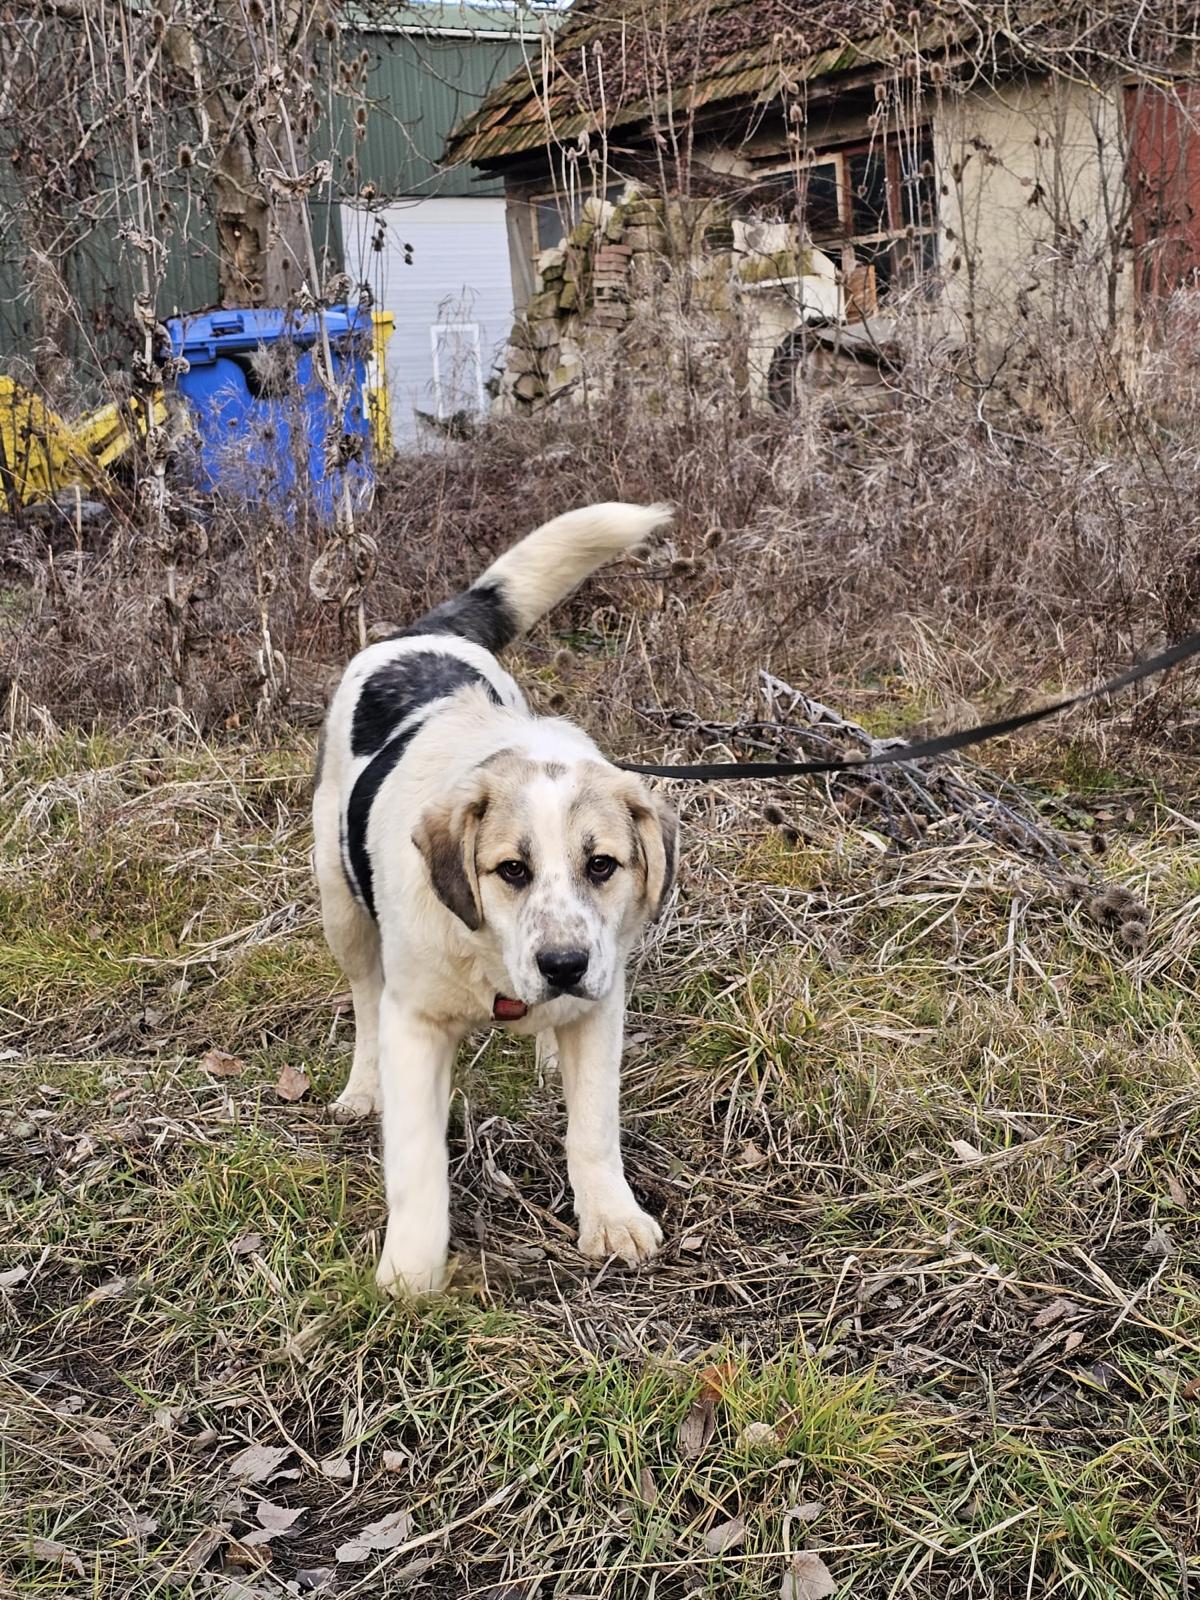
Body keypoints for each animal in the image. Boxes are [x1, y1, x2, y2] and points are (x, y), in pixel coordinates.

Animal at [313, 503, 677, 1296]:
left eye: (602, 865)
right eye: (510, 869)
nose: (564, 966)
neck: (494, 969)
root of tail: (424, 632)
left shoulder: (603, 1004)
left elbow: (593, 1128)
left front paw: (610, 1217)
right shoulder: (416, 1025)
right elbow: (417, 1162)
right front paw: (412, 1270)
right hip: (339, 905)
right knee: (363, 998)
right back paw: (363, 1086)